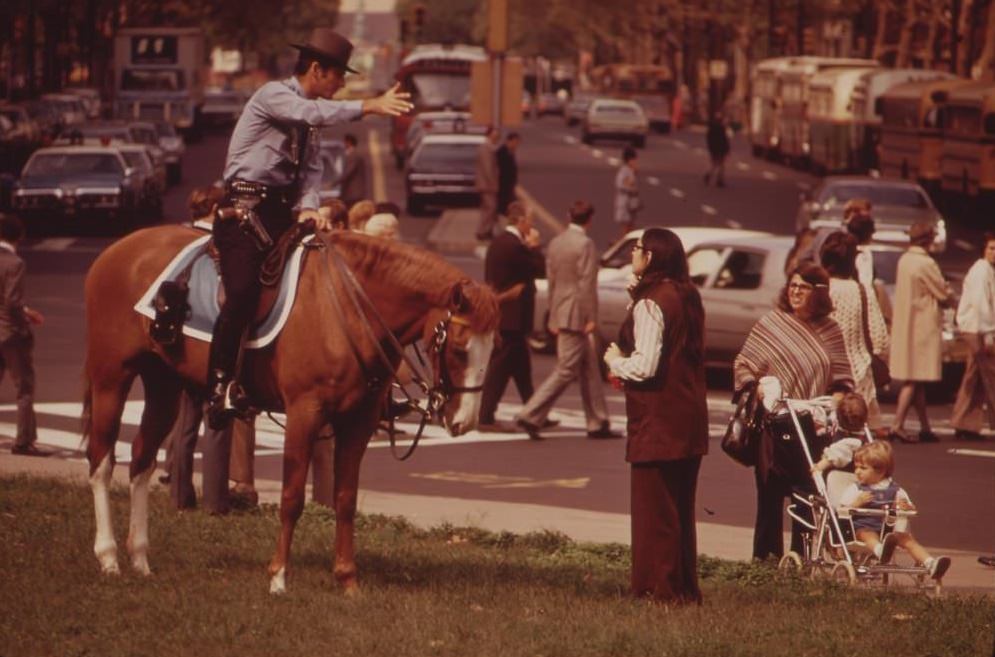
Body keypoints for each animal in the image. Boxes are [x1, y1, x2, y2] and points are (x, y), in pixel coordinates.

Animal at [80, 223, 498, 592]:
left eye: (493, 347)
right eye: (459, 348)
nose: (464, 421)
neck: (346, 308)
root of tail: (116, 251)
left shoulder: (358, 423)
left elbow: (345, 498)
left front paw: (347, 579)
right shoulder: (304, 414)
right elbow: (292, 498)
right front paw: (279, 576)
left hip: (163, 384)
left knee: (140, 460)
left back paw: (140, 558)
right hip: (111, 378)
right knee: (101, 460)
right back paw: (108, 557)